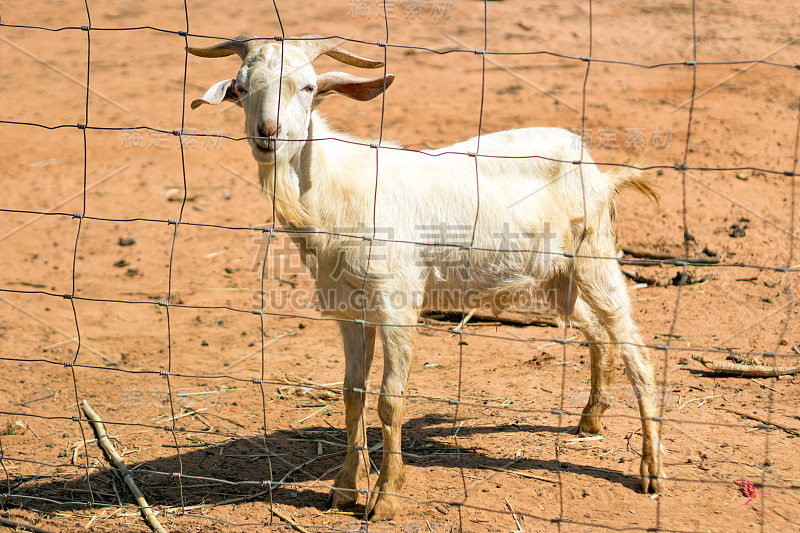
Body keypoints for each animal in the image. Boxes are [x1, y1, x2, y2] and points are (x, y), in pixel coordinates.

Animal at [188, 36, 664, 520]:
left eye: (307, 87)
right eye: (241, 88)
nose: (267, 133)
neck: (333, 191)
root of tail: (595, 167)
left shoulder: (397, 301)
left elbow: (389, 399)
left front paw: (385, 497)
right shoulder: (349, 311)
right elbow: (352, 394)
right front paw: (344, 488)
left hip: (594, 253)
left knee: (635, 349)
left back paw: (651, 470)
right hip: (555, 276)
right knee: (596, 332)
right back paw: (591, 419)